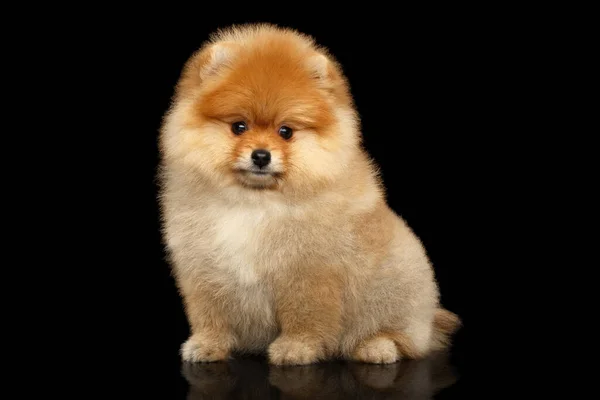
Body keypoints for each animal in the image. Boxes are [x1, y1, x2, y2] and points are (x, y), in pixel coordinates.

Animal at [158, 22, 460, 366]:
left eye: (285, 132)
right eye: (239, 127)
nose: (261, 155)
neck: (255, 202)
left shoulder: (309, 273)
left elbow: (306, 316)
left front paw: (296, 348)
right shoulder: (203, 267)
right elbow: (211, 314)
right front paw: (208, 344)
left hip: (397, 287)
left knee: (405, 337)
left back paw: (377, 347)